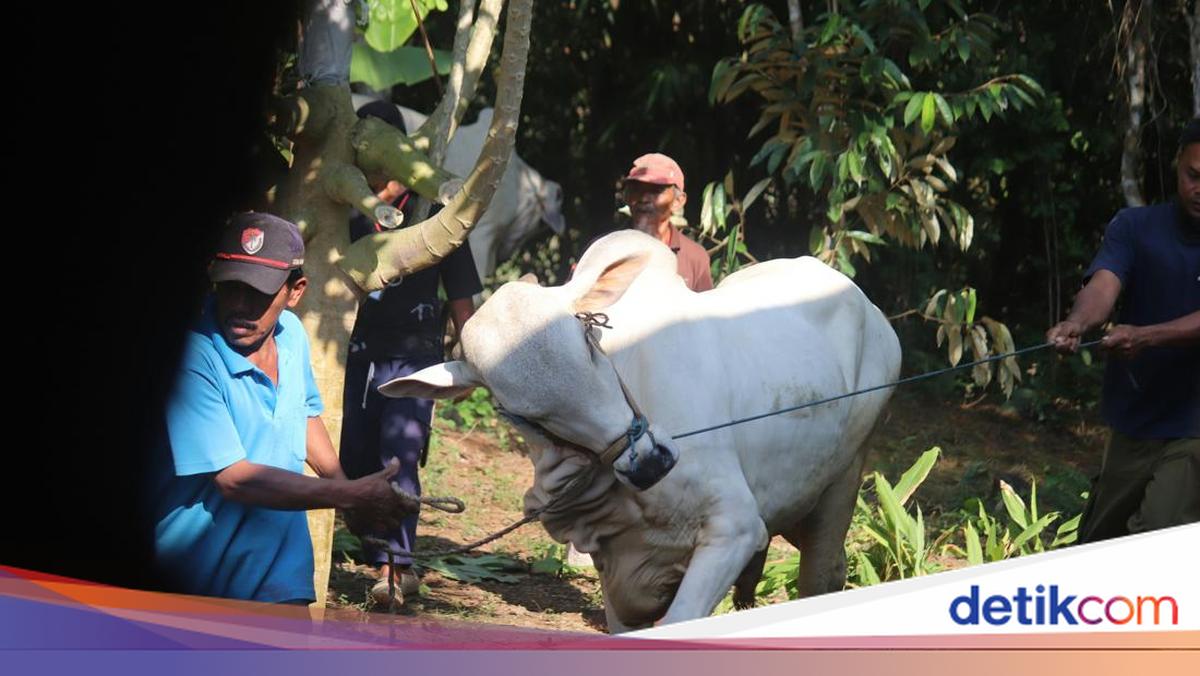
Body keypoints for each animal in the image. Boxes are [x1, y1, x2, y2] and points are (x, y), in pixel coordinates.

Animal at [379, 230, 901, 631]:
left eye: (590, 339)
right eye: (522, 414)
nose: (650, 461)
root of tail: (864, 304)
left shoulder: (734, 527)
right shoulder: (617, 570)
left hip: (845, 477)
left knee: (821, 574)